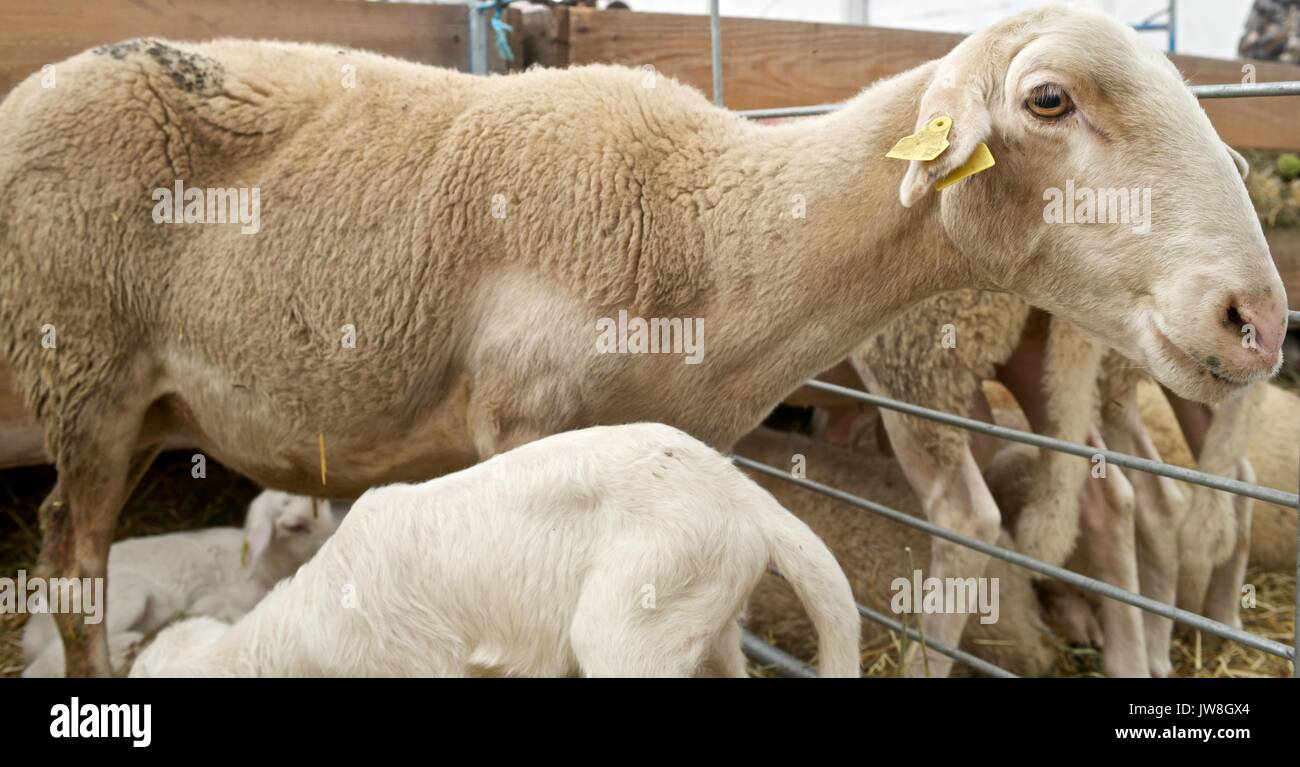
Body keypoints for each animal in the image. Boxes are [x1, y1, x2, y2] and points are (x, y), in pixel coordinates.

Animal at [20, 490, 337, 677]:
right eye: (295, 526)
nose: (331, 537)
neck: (266, 566)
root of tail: (30, 630)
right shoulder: (213, 601)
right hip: (127, 594)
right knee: (50, 658)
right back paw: (125, 648)